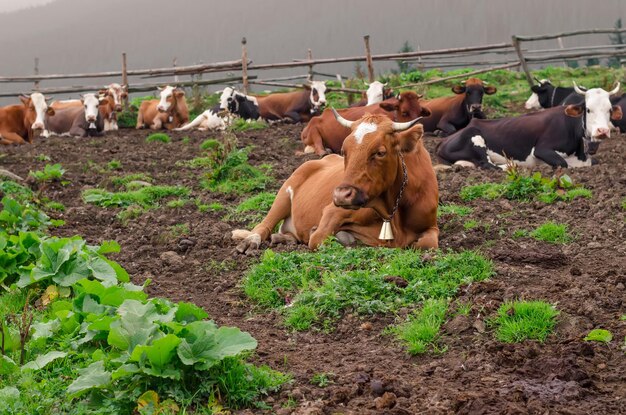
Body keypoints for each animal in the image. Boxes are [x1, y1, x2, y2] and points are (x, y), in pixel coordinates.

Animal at [232, 112, 436, 254]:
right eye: (344, 151)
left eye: (380, 152)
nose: (341, 195)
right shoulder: (332, 211)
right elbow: (318, 238)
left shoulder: (431, 225)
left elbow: (428, 244)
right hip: (283, 194)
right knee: (264, 226)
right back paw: (251, 241)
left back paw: (283, 238)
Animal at [436, 83, 620, 170]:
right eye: (588, 109)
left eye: (610, 110)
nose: (602, 131)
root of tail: (443, 141)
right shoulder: (542, 149)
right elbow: (562, 163)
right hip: (475, 136)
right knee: (488, 165)